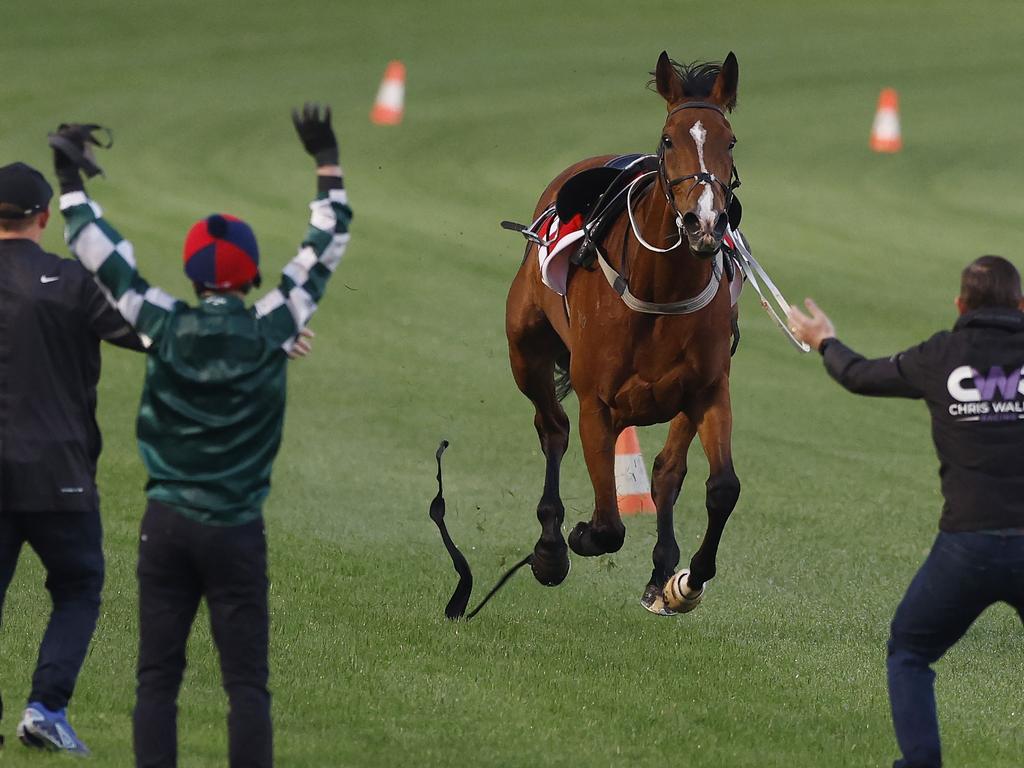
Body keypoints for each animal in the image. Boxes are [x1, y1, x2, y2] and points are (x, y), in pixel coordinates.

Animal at [505, 51, 741, 618]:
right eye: (668, 139)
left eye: (730, 142)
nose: (704, 222)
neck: (660, 289)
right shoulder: (599, 404)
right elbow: (610, 524)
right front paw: (576, 537)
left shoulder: (708, 389)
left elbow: (720, 487)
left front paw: (687, 579)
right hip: (524, 348)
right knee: (552, 427)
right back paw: (550, 547)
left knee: (667, 471)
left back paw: (662, 574)